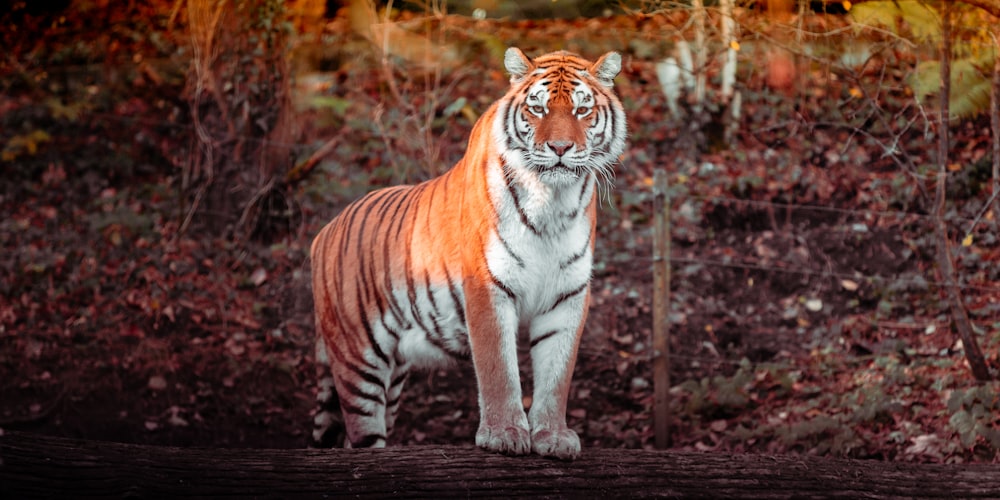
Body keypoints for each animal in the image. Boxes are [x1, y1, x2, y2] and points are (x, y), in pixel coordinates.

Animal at [312, 47, 624, 460]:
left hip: (393, 376)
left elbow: (557, 375)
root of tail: (323, 231)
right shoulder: (487, 285)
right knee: (359, 435)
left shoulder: (567, 295)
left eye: (581, 109)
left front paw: (553, 436)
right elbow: (498, 370)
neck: (552, 203)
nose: (559, 149)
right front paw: (504, 434)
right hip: (358, 360)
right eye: (538, 109)